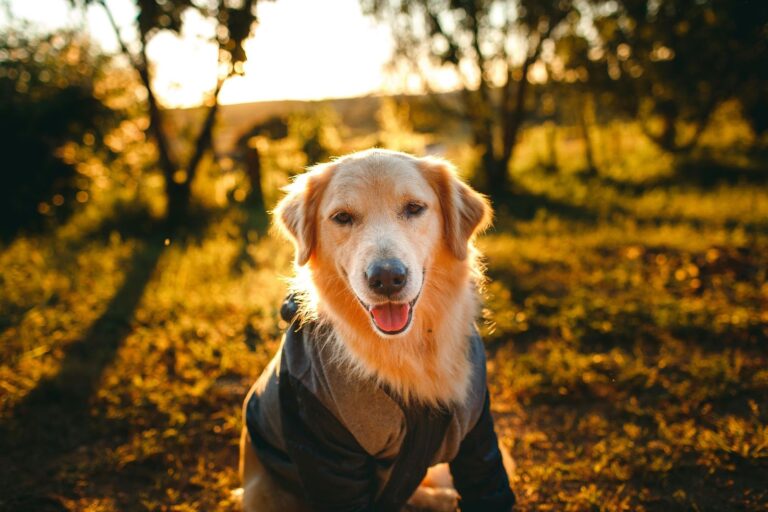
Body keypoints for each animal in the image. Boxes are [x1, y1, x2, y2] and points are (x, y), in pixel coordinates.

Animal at [238, 150, 516, 510]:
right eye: (342, 217)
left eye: (414, 208)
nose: (386, 278)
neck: (410, 348)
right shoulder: (325, 448)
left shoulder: (476, 433)